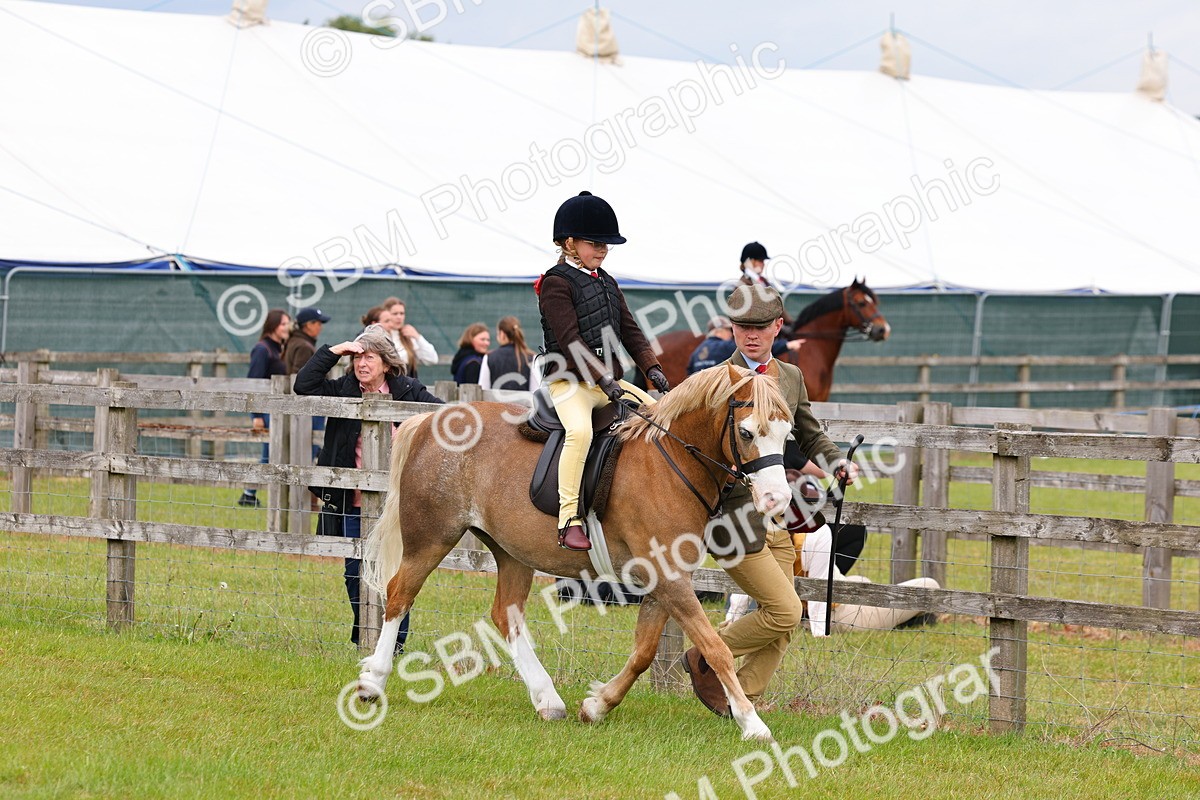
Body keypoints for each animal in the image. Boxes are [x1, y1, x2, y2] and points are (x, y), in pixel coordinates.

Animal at [354, 364, 796, 741]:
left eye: (787, 433)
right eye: (747, 433)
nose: (777, 500)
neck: (670, 463)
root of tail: (430, 421)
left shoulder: (664, 579)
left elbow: (643, 653)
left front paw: (597, 705)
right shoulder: (669, 577)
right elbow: (715, 648)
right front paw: (752, 723)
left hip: (512, 552)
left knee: (506, 615)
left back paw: (547, 699)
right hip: (431, 539)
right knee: (400, 595)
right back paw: (373, 682)